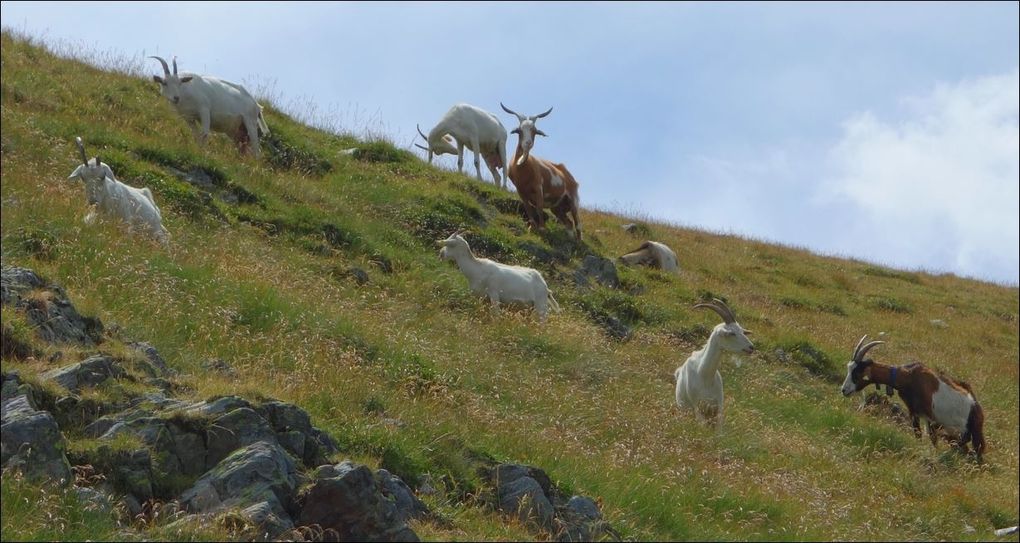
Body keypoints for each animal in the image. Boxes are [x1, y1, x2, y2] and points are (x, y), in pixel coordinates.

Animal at [499, 103, 583, 241]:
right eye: (519, 130)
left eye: (535, 131)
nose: (528, 143)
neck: (523, 169)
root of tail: (568, 175)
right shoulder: (521, 191)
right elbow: (529, 209)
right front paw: (532, 227)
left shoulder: (538, 188)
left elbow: (538, 208)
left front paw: (542, 229)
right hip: (557, 207)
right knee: (569, 223)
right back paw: (571, 240)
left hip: (573, 200)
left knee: (578, 223)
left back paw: (579, 241)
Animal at [673, 295, 754, 428]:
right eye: (732, 333)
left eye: (742, 331)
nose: (751, 347)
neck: (704, 374)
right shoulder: (697, 407)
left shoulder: (718, 408)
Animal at [840, 334, 983, 463]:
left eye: (857, 372)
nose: (844, 390)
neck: (908, 377)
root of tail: (975, 406)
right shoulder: (914, 412)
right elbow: (919, 434)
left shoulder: (930, 417)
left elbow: (932, 438)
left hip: (967, 429)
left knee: (970, 444)